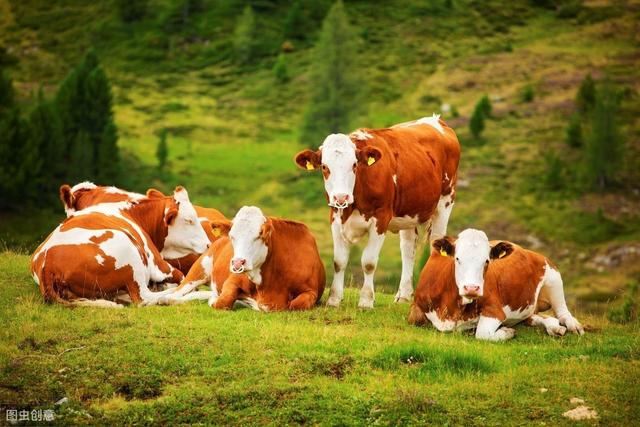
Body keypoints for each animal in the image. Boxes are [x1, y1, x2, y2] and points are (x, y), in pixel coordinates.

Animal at [31, 187, 209, 308]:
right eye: (189, 220)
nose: (208, 244)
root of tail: (47, 263)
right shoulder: (159, 264)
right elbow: (182, 277)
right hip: (128, 251)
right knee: (145, 298)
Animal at [156, 206, 324, 312]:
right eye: (232, 236)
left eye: (259, 235)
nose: (237, 263)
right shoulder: (233, 279)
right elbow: (223, 300)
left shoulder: (311, 292)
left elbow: (296, 304)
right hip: (200, 268)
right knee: (177, 292)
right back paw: (164, 299)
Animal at [296, 113, 460, 308]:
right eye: (324, 167)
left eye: (354, 165)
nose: (341, 197)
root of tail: (436, 120)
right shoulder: (335, 218)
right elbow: (339, 261)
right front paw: (334, 299)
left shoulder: (381, 219)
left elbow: (368, 262)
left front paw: (366, 301)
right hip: (408, 212)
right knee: (408, 247)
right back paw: (403, 295)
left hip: (445, 201)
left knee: (436, 242)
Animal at [408, 229, 584, 342]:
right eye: (457, 258)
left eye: (486, 260)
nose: (472, 288)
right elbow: (415, 319)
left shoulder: (495, 310)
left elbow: (482, 333)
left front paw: (507, 332)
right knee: (537, 317)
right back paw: (554, 327)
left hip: (553, 277)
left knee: (562, 312)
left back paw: (573, 326)